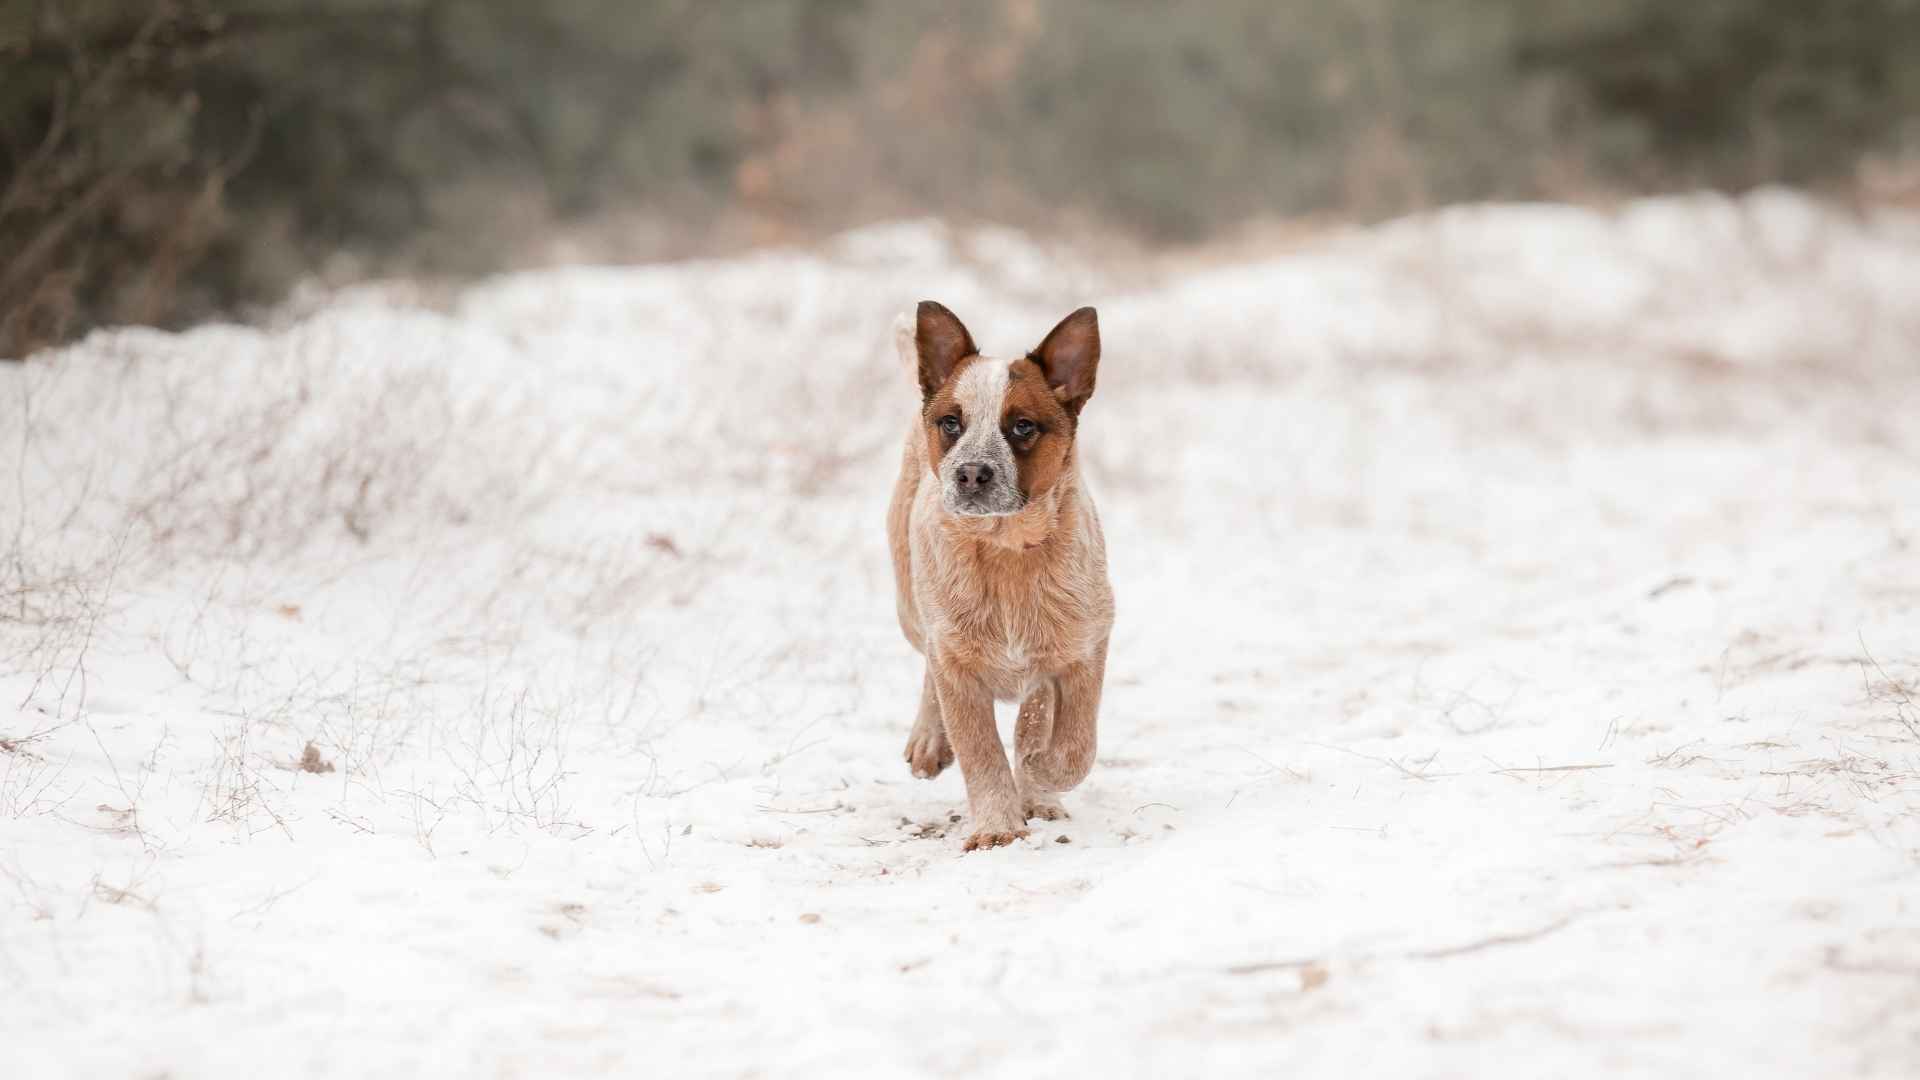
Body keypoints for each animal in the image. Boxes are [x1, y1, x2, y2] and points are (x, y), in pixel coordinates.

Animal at [879, 297, 1113, 845]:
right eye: (951, 423)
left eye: (1022, 426)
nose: (970, 473)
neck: (1006, 552)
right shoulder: (958, 668)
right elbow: (981, 754)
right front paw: (997, 830)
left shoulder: (1085, 649)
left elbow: (1073, 744)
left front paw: (1039, 773)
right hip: (912, 610)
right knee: (929, 668)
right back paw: (928, 740)